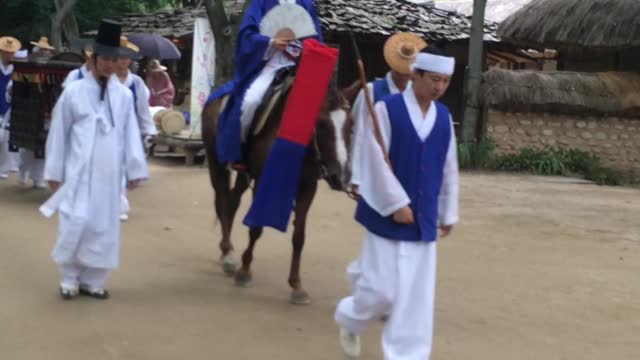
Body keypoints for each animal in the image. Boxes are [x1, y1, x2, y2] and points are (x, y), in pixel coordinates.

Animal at [201, 69, 352, 304]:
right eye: (321, 124)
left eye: (351, 125)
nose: (340, 177)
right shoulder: (264, 180)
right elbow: (256, 228)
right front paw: (244, 271)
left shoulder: (308, 186)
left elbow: (299, 237)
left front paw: (297, 286)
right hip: (215, 160)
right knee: (222, 201)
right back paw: (227, 255)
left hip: (244, 171)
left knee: (232, 201)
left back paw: (228, 251)